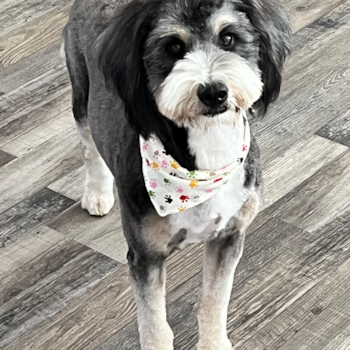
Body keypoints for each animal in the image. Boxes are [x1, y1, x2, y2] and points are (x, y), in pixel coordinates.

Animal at [62, 1, 290, 348]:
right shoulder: (146, 255)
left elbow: (215, 301)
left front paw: (214, 342)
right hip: (81, 90)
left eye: (228, 38)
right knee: (88, 143)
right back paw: (97, 192)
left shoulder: (229, 236)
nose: (213, 92)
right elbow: (154, 325)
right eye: (172, 47)